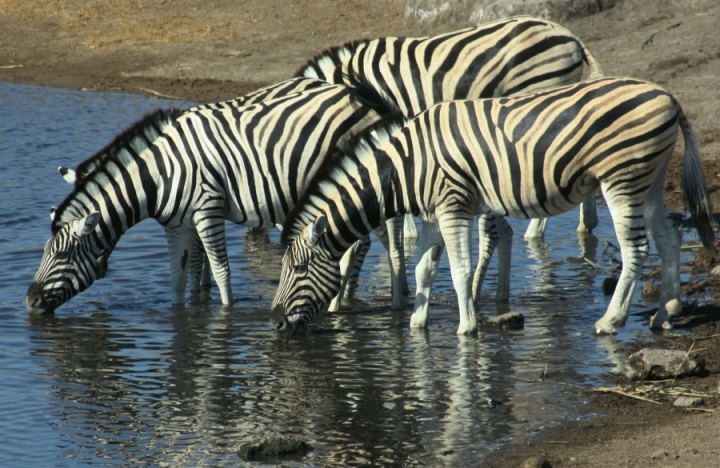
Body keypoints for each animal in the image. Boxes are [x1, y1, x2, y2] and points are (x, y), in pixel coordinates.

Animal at [23, 77, 394, 314]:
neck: (160, 175)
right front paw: (182, 314)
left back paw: (347, 301)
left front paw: (223, 316)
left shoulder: (207, 211)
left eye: (62, 255)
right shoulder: (178, 224)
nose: (28, 302)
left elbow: (219, 271)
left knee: (369, 241)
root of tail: (361, 96)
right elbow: (180, 276)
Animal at [268, 78, 716, 338]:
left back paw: (612, 320)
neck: (406, 168)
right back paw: (664, 314)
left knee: (636, 249)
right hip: (649, 180)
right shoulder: (433, 217)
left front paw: (466, 328)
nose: (274, 322)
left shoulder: (453, 206)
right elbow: (423, 269)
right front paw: (416, 323)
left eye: (300, 269)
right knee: (668, 238)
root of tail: (668, 95)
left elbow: (460, 270)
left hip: (621, 177)